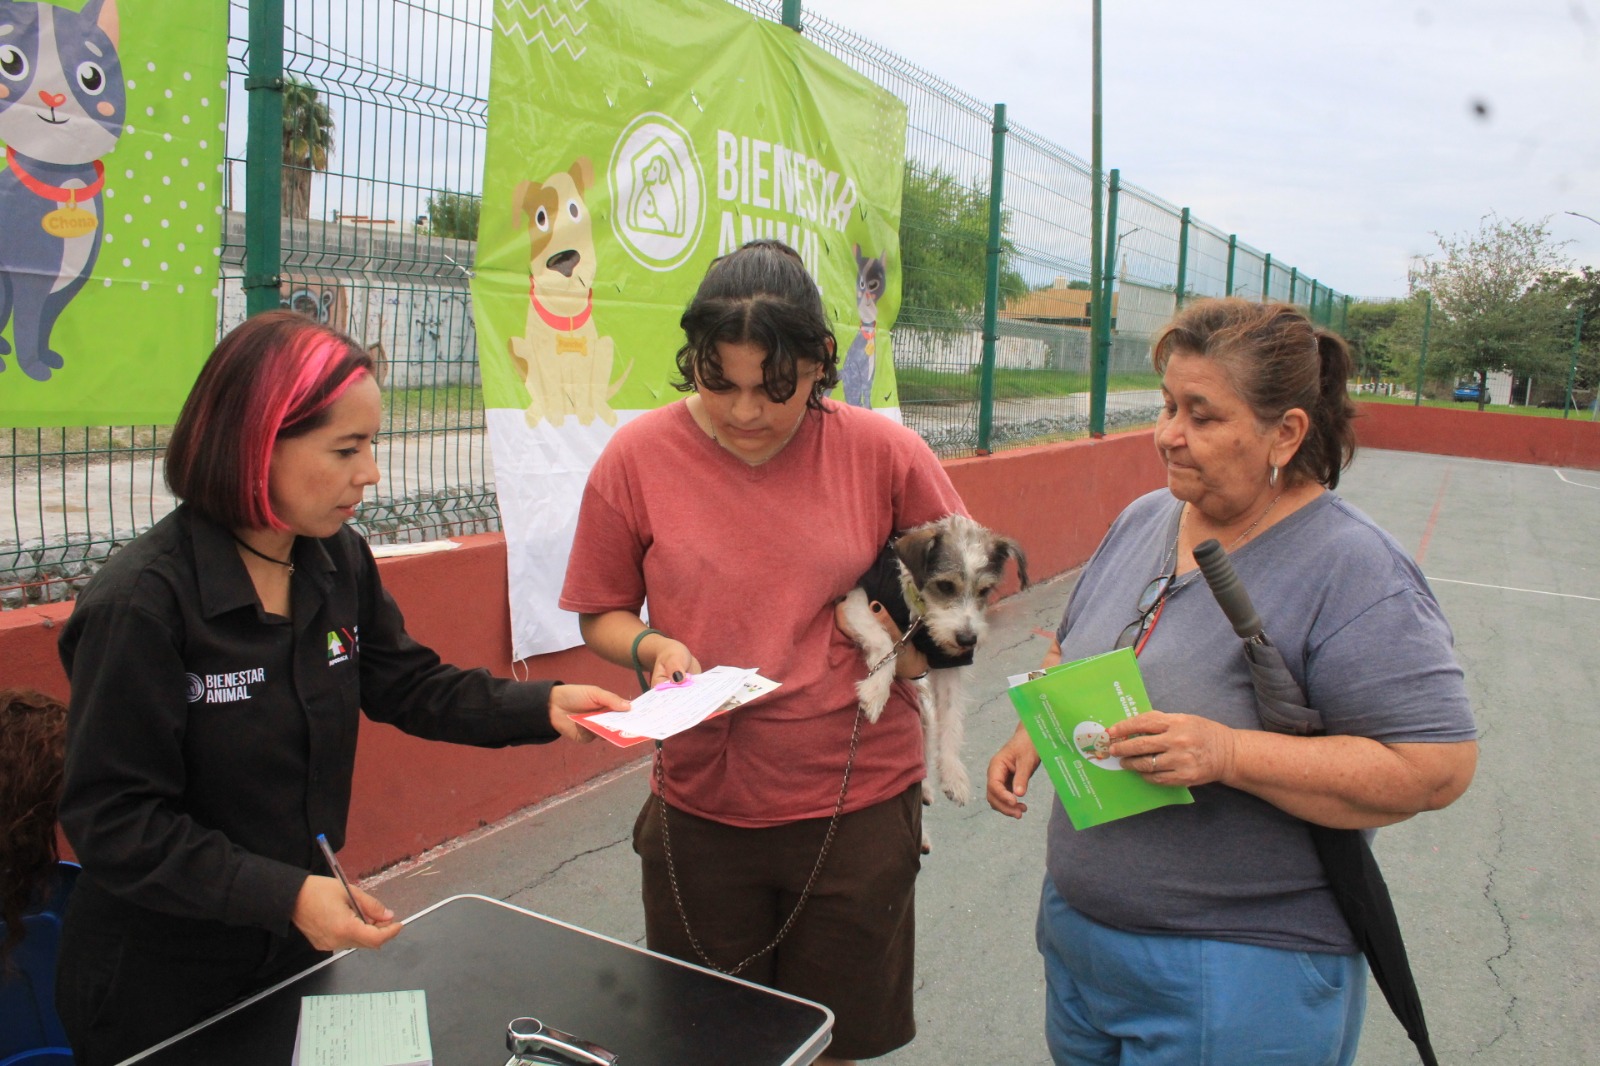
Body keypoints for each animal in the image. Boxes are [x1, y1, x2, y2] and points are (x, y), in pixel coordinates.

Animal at [838, 512, 1024, 838]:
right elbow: (883, 641)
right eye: (946, 586)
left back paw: (924, 789)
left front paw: (952, 774)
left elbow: (950, 720)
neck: (920, 613)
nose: (967, 639)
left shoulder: (946, 661)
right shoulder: (857, 603)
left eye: (984, 591)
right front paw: (875, 691)